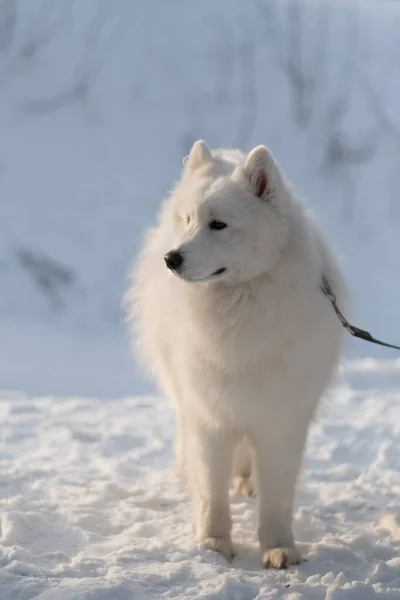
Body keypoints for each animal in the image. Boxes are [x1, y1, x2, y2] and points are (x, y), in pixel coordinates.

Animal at [126, 139, 346, 568]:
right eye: (189, 219)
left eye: (218, 224)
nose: (171, 259)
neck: (238, 305)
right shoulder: (209, 411)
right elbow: (211, 489)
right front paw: (214, 542)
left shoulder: (281, 417)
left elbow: (277, 495)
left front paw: (278, 548)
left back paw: (246, 480)